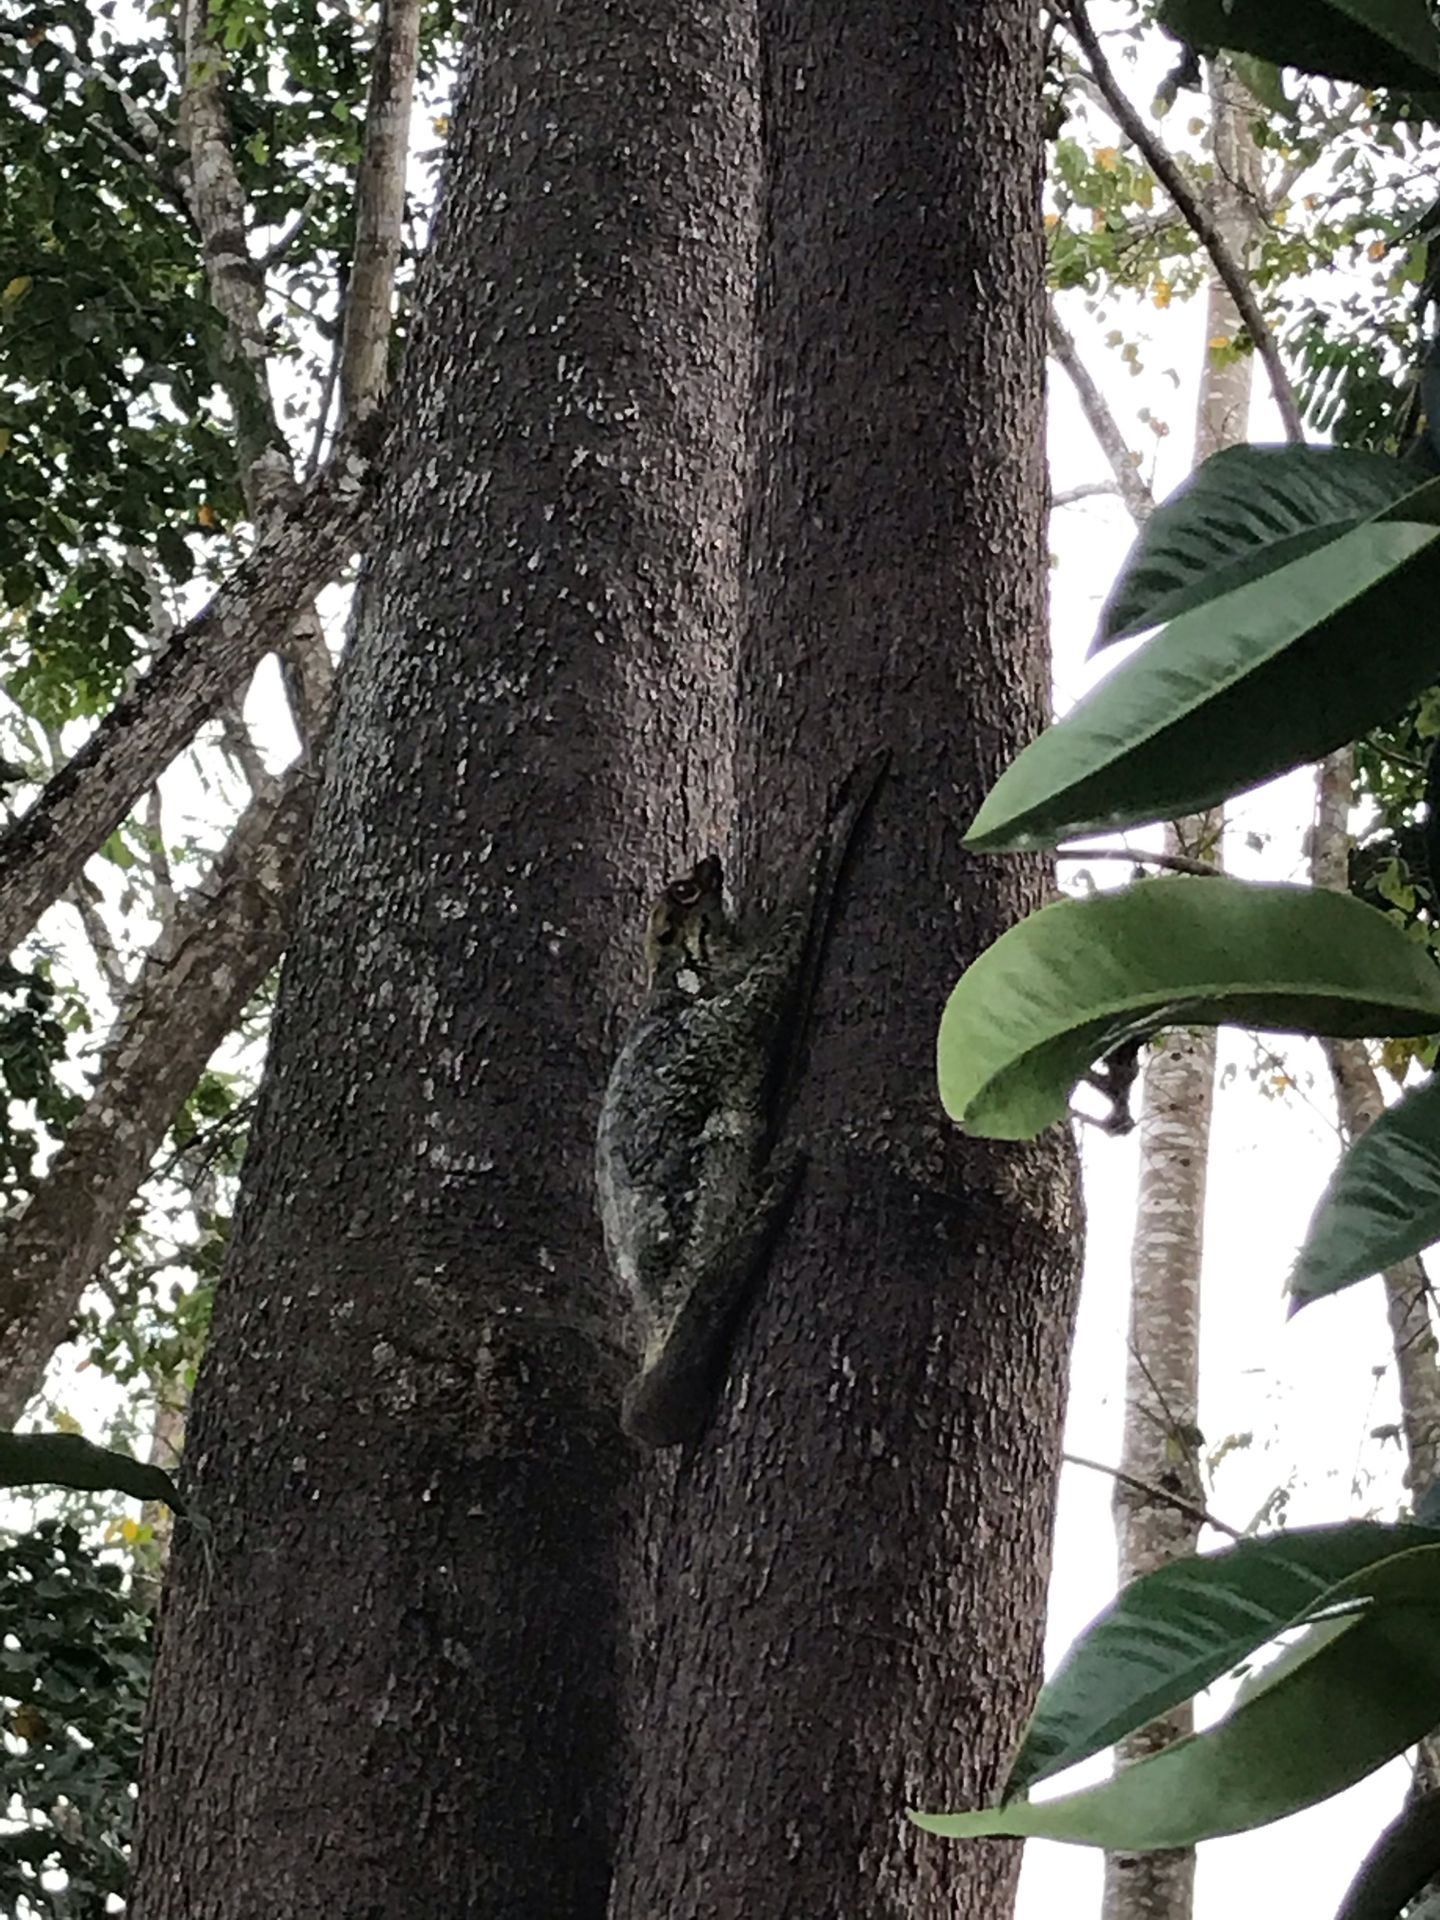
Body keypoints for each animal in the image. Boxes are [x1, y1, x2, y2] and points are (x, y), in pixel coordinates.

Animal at [594, 753, 888, 1449]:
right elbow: (780, 966)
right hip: (696, 1207)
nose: (708, 863)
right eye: (684, 892)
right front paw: (835, 828)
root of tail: (656, 1319)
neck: (683, 972)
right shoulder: (714, 1019)